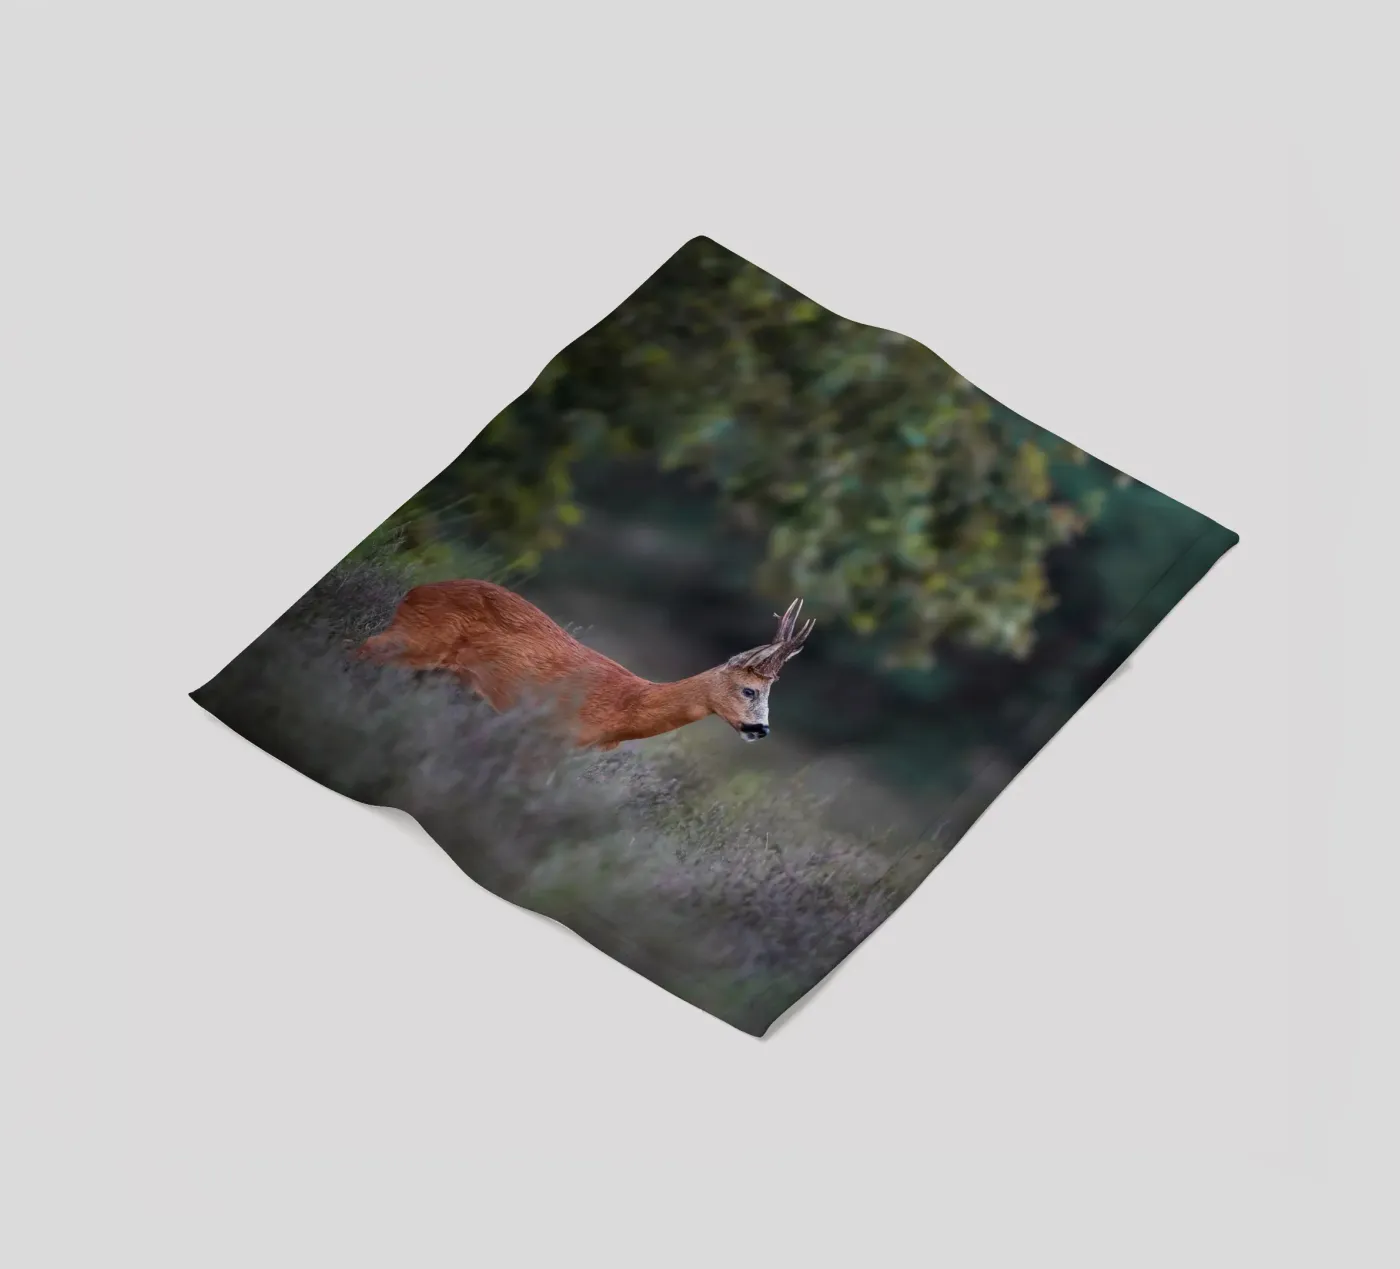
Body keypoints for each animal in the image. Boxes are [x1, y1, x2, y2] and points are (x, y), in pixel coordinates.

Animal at [354, 579, 814, 750]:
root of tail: (415, 591)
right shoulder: (547, 731)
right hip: (417, 641)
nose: (761, 729)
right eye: (749, 689)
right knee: (363, 647)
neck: (625, 707)